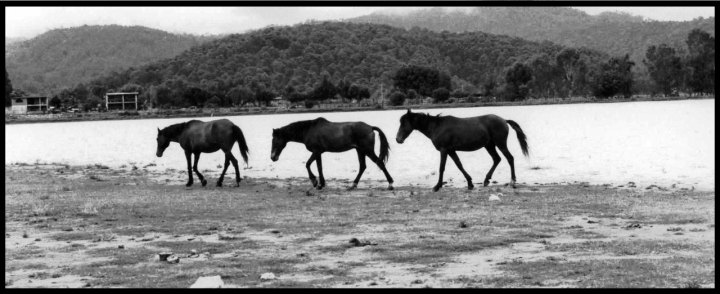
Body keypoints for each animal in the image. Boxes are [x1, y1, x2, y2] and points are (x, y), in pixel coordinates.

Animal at [394, 109, 528, 192]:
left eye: (404, 123)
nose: (398, 139)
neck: (437, 127)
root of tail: (504, 120)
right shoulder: (451, 150)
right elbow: (459, 165)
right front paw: (470, 183)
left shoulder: (444, 150)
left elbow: (441, 168)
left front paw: (437, 186)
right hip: (489, 146)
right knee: (497, 159)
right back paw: (486, 180)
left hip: (500, 144)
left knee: (509, 158)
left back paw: (512, 181)